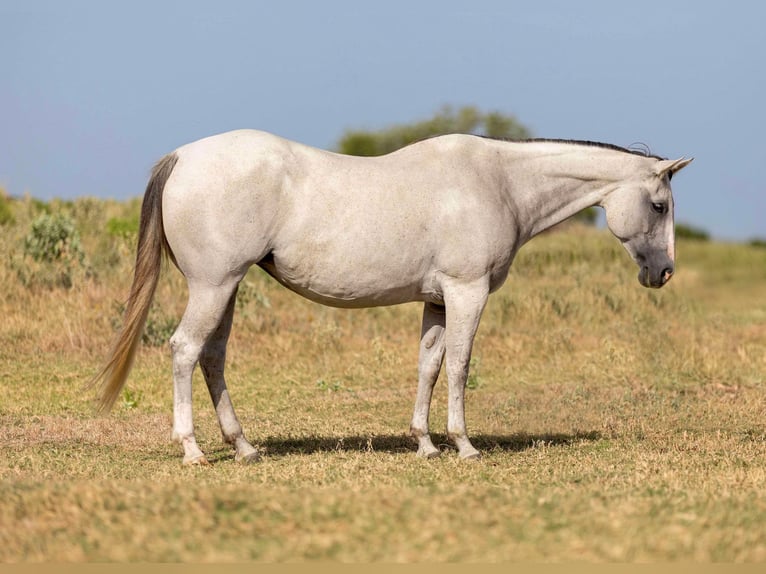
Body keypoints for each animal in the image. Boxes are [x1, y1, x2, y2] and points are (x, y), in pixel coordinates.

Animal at [92, 130, 692, 465]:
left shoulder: (437, 300)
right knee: (184, 351)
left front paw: (424, 444)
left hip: (227, 288)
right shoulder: (467, 291)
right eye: (659, 205)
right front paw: (464, 446)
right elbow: (460, 366)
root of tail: (182, 157)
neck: (498, 182)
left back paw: (244, 447)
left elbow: (429, 365)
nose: (663, 273)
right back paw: (193, 450)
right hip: (214, 286)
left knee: (212, 358)